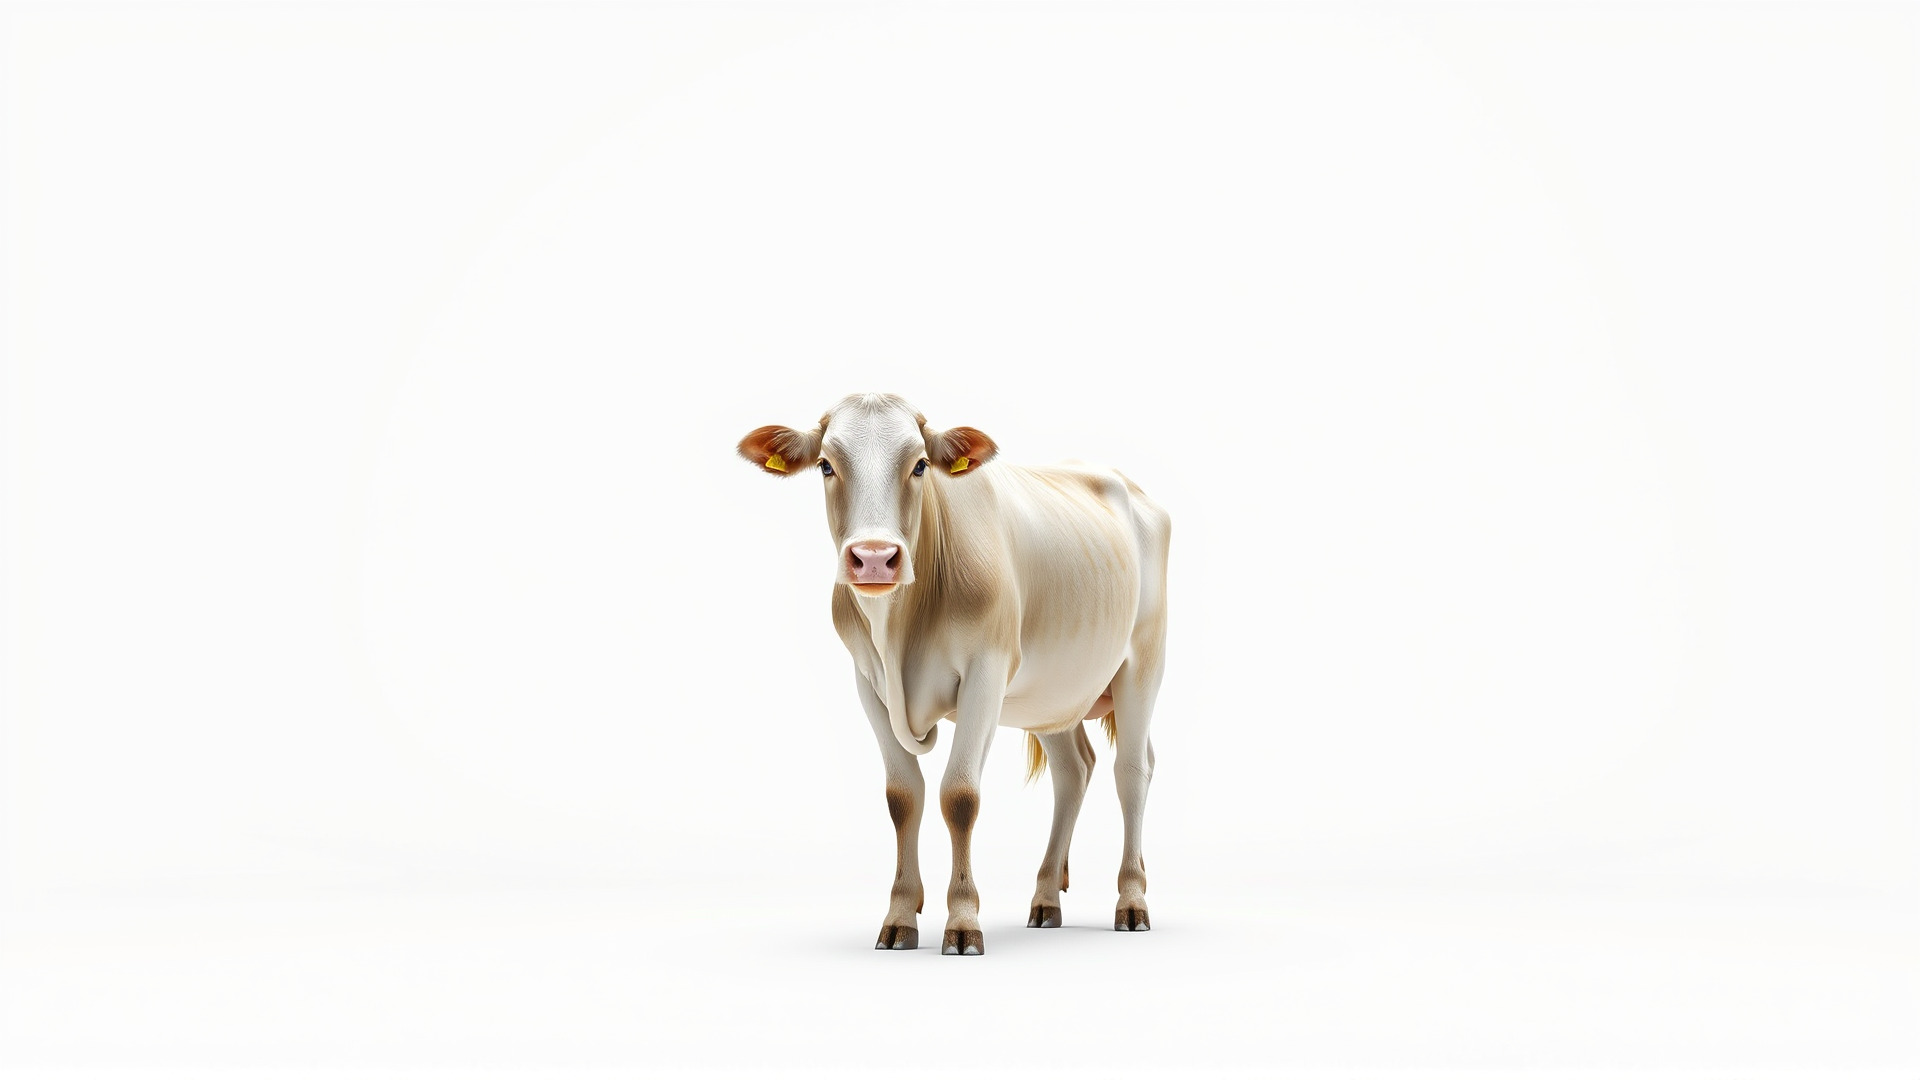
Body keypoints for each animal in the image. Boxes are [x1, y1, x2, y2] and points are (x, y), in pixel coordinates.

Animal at [738, 393, 1170, 955]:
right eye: (826, 465)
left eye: (921, 464)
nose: (873, 559)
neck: (900, 630)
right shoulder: (867, 682)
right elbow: (903, 797)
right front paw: (900, 915)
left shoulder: (986, 670)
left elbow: (959, 796)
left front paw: (963, 921)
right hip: (1052, 691)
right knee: (1074, 770)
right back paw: (1045, 898)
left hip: (1143, 660)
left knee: (1132, 771)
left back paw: (1132, 901)